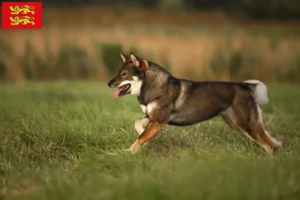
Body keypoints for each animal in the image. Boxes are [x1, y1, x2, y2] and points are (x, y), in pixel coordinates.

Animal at [107, 52, 282, 153]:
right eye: (119, 73)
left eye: (124, 74)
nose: (109, 83)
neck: (153, 85)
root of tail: (244, 85)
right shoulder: (153, 118)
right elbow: (138, 125)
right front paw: (143, 135)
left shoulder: (158, 120)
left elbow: (141, 138)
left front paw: (128, 152)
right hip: (239, 126)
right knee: (270, 142)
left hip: (246, 125)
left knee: (270, 145)